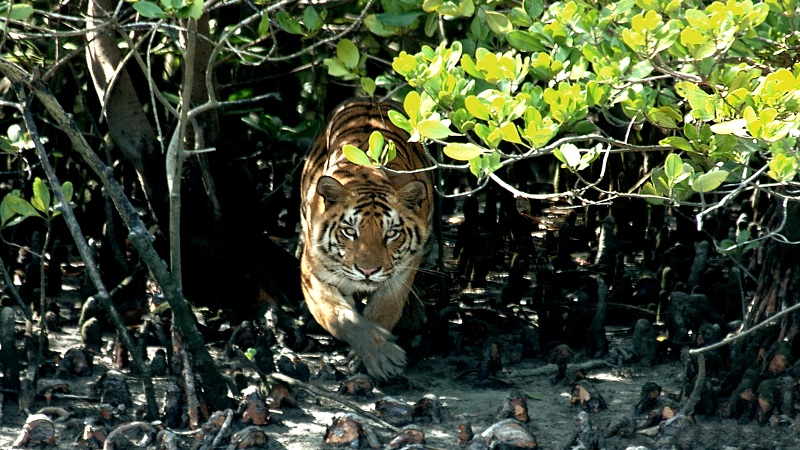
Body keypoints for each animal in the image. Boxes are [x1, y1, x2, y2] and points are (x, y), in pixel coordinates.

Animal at [299, 98, 435, 380]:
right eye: (350, 231)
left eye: (391, 233)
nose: (368, 271)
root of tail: (373, 98)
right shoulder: (312, 272)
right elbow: (341, 318)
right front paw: (383, 357)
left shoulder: (401, 272)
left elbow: (383, 311)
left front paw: (378, 357)